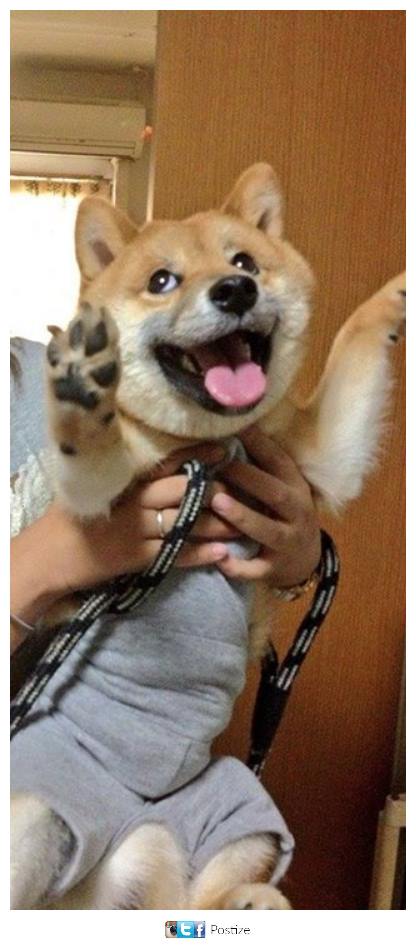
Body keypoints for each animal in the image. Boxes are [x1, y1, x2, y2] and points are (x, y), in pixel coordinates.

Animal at [11, 163, 405, 909]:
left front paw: (394, 296)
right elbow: (94, 446)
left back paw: (251, 900)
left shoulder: (315, 460)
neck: (208, 447)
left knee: (205, 891)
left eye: (245, 262)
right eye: (162, 280)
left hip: (235, 804)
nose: (234, 291)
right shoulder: (102, 495)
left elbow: (352, 346)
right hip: (35, 807)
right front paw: (83, 384)